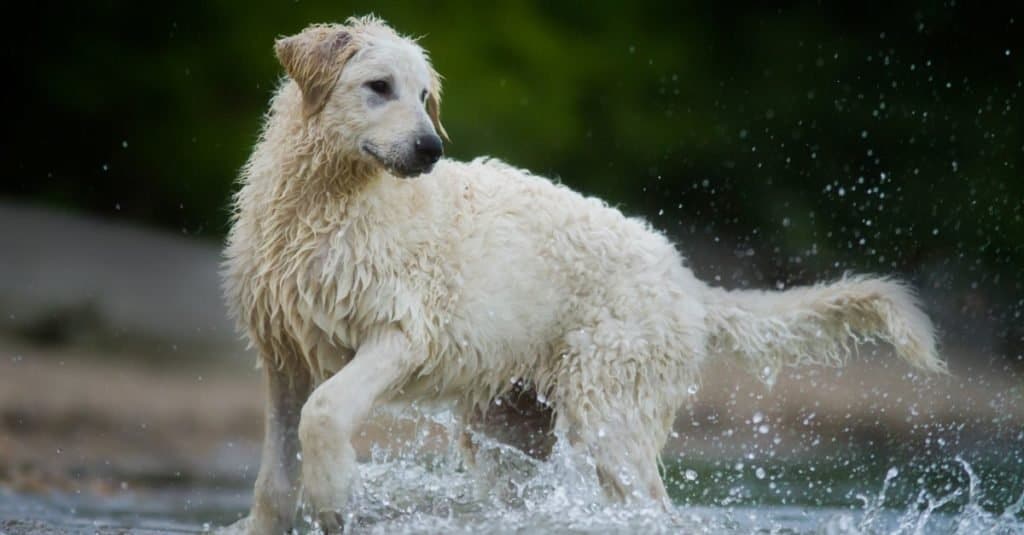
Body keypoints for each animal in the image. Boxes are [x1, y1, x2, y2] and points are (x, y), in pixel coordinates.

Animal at [222, 14, 942, 528]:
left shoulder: (401, 331)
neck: (334, 203)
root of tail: (684, 278)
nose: (431, 149)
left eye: (425, 96)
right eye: (378, 87)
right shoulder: (284, 357)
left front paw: (335, 494)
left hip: (612, 405)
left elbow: (326, 411)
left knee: (651, 506)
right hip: (507, 423)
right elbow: (275, 478)